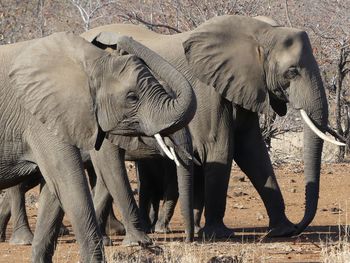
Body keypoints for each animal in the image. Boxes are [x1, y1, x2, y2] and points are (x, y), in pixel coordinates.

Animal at [0, 29, 196, 262]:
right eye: (132, 97)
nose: (117, 38)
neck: (90, 63)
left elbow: (55, 190)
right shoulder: (40, 118)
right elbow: (75, 180)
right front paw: (138, 242)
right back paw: (22, 240)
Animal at [81, 14, 344, 241]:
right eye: (292, 71)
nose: (300, 226)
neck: (259, 33)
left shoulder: (242, 85)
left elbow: (253, 151)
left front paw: (282, 231)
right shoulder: (206, 89)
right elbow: (221, 147)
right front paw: (219, 234)